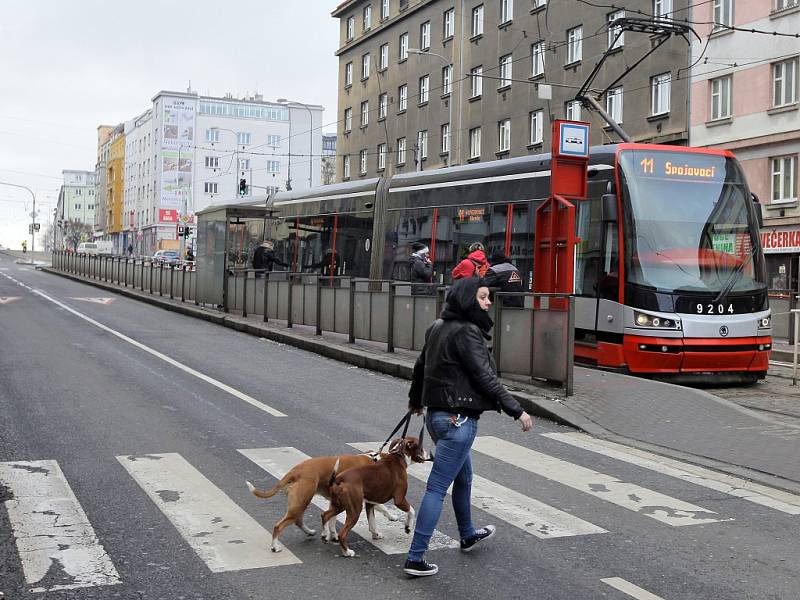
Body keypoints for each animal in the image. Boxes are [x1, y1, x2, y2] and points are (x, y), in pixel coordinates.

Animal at [244, 452, 394, 552]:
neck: (373, 460)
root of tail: (295, 471)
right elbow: (382, 508)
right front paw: (391, 518)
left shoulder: (335, 502)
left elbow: (331, 520)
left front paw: (332, 534)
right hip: (301, 502)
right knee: (279, 526)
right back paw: (275, 547)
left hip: (300, 503)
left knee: (298, 521)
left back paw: (310, 532)